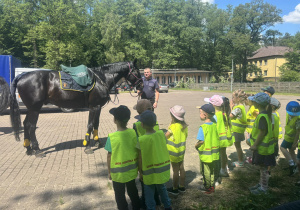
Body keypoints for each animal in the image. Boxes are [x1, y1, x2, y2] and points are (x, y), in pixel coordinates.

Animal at [9, 60, 144, 157]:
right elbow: (90, 125)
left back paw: (28, 149)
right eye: (137, 72)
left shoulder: (98, 107)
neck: (101, 79)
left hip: (31, 109)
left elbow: (96, 124)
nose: (141, 85)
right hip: (35, 109)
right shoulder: (93, 107)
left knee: (26, 124)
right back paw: (37, 150)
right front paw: (87, 146)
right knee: (31, 126)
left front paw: (97, 141)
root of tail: (21, 76)